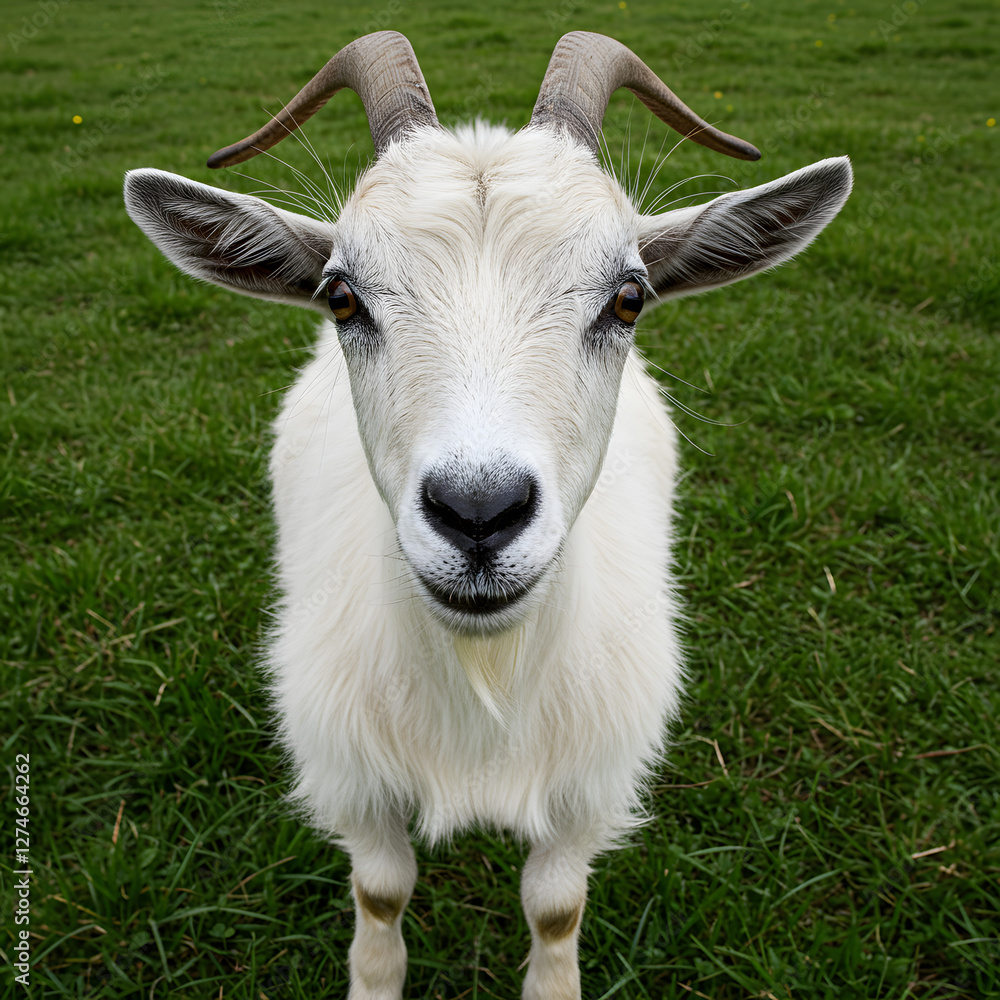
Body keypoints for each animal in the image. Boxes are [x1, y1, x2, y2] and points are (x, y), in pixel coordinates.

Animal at [123, 31, 851, 999]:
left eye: (629, 297)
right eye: (341, 295)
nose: (478, 512)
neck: (483, 678)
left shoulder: (585, 787)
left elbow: (555, 908)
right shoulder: (355, 777)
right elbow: (382, 892)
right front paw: (375, 980)